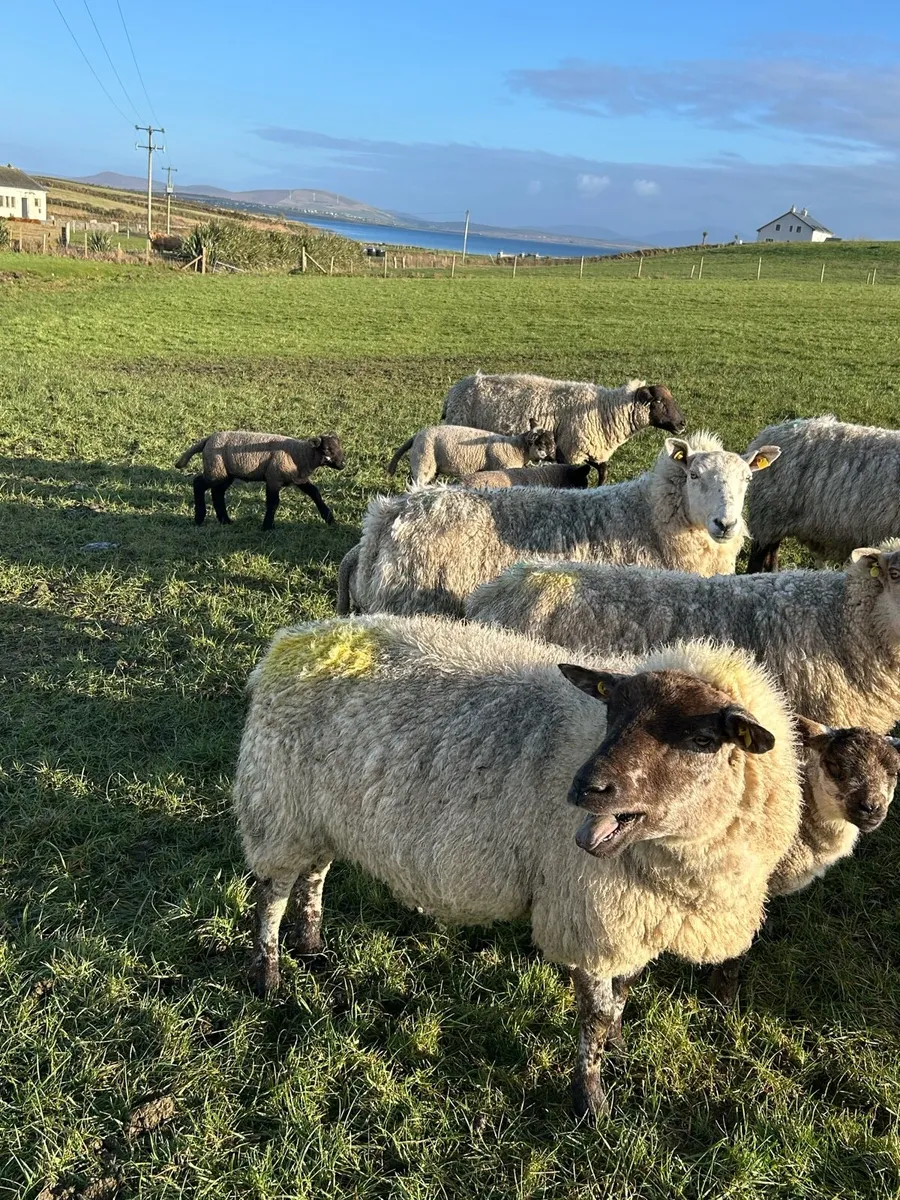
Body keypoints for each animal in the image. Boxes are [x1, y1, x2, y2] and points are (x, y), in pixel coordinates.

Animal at [175, 430, 345, 529]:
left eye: (339, 448)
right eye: (327, 449)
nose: (343, 464)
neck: (300, 454)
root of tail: (208, 439)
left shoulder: (300, 479)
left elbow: (315, 493)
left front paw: (329, 519)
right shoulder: (273, 478)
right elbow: (273, 503)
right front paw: (267, 526)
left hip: (224, 474)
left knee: (217, 493)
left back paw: (225, 520)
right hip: (215, 470)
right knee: (198, 484)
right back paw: (199, 518)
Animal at [234, 615, 802, 1119]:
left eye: (702, 740)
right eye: (611, 715)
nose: (585, 787)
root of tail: (292, 642)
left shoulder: (631, 917)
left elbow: (623, 992)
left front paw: (618, 1045)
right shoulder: (586, 914)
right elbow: (595, 1016)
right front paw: (591, 1103)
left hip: (323, 814)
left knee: (315, 874)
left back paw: (311, 945)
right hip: (279, 806)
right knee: (272, 893)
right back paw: (268, 975)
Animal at [386, 420, 556, 485]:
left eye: (552, 441)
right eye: (543, 443)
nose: (554, 455)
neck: (516, 448)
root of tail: (416, 435)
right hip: (423, 461)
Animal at [440, 372, 686, 483]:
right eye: (659, 401)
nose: (682, 424)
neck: (604, 411)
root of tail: (454, 391)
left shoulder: (595, 451)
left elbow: (603, 473)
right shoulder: (571, 452)